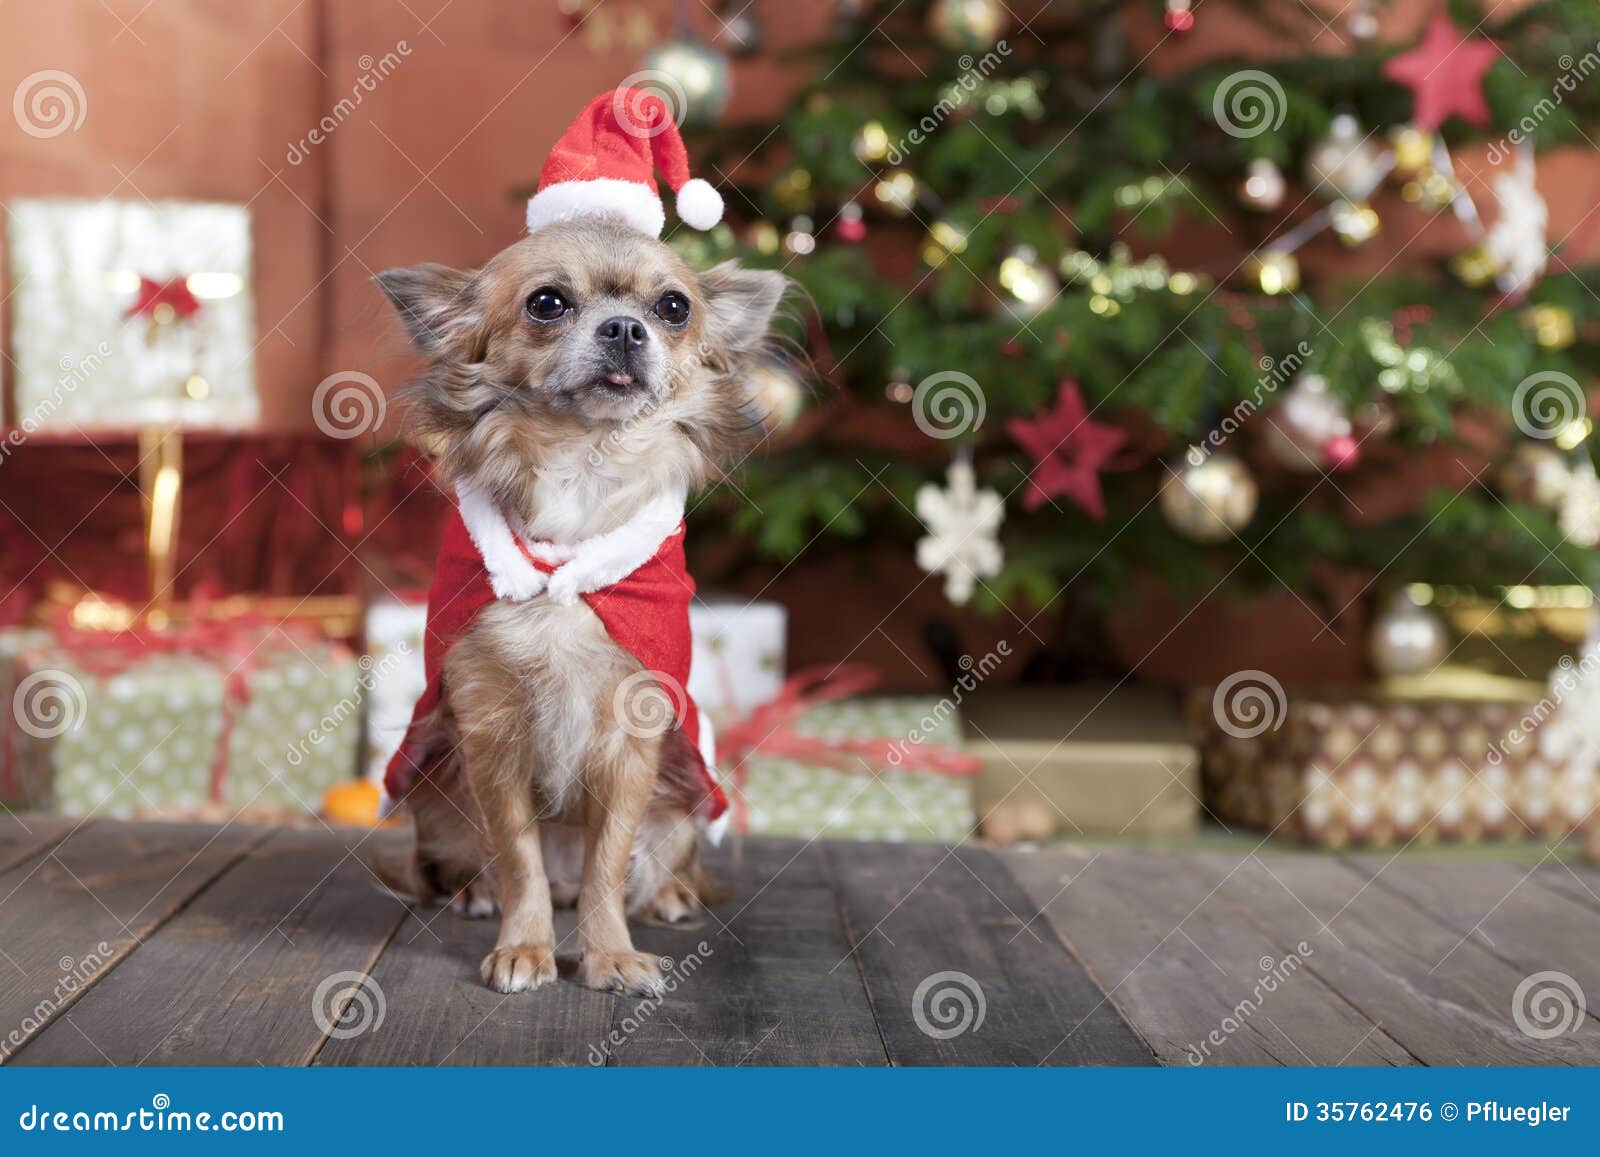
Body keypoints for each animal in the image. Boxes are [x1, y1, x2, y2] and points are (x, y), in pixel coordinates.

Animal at [376, 217, 787, 998]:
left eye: (674, 307)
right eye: (547, 303)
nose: (626, 328)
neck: (582, 479)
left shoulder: (632, 746)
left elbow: (606, 865)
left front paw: (611, 956)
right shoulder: (492, 740)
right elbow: (520, 860)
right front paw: (525, 947)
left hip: (678, 816)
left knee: (640, 867)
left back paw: (668, 895)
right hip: (437, 802)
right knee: (481, 866)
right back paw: (476, 893)